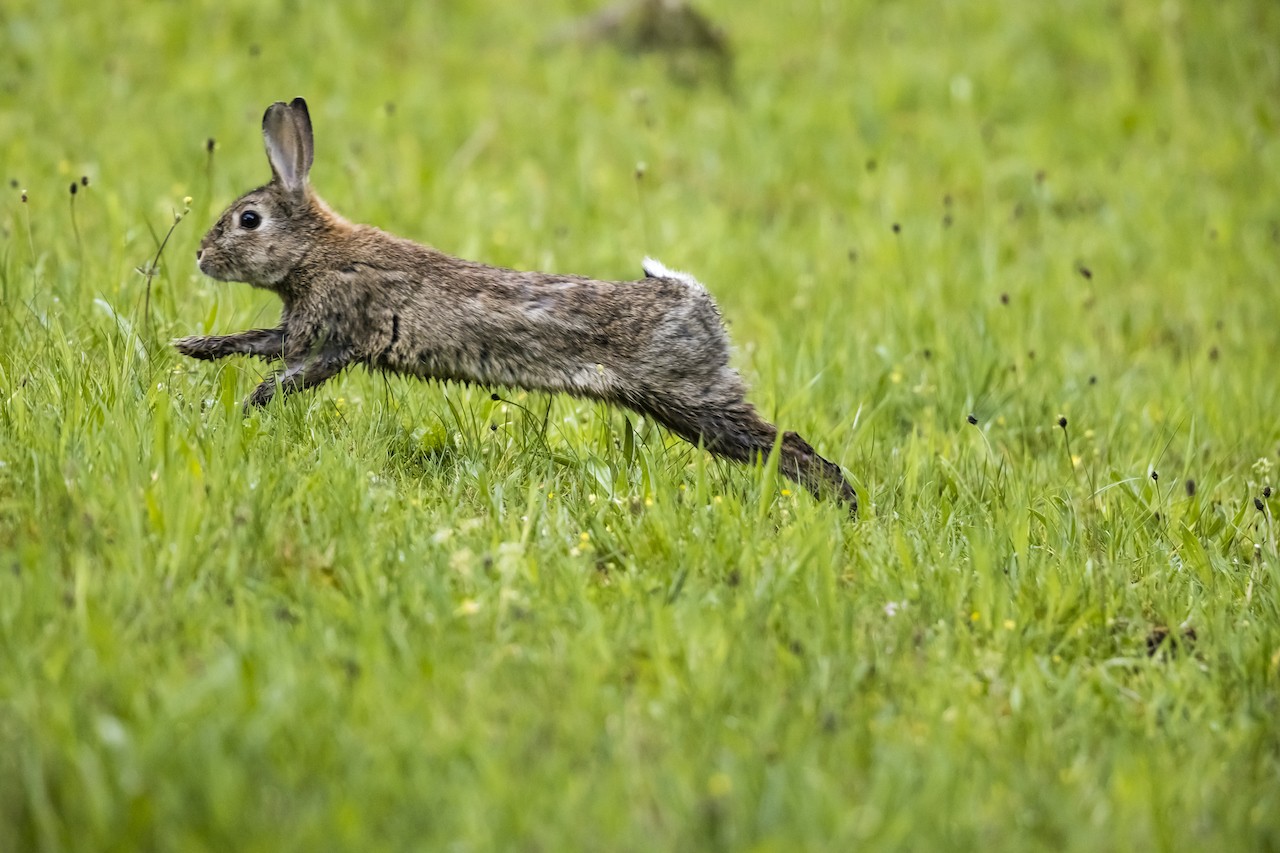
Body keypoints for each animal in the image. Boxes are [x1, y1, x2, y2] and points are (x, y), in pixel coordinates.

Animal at [175, 99, 860, 512]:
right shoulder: (316, 336)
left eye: (248, 220)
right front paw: (213, 369)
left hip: (693, 396)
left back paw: (843, 503)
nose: (202, 257)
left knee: (788, 445)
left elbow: (278, 358)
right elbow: (269, 353)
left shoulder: (330, 329)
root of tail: (693, 298)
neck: (316, 250)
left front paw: (224, 381)